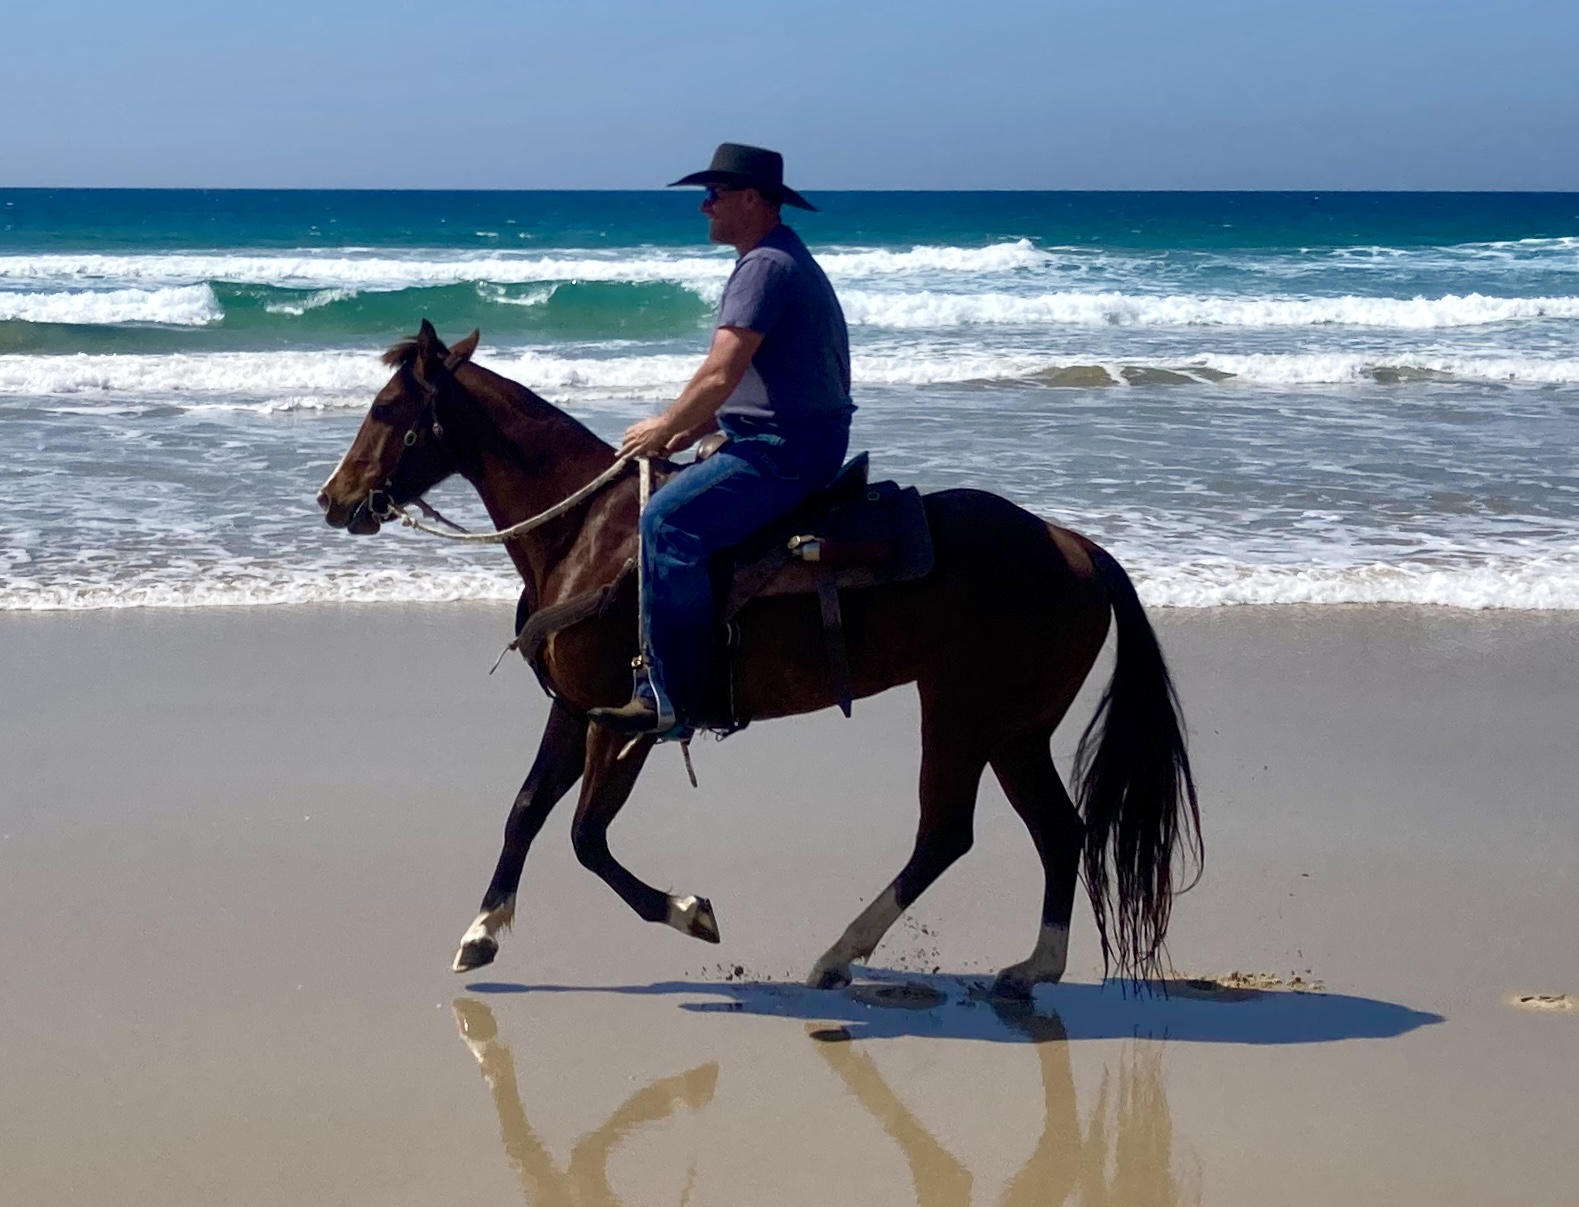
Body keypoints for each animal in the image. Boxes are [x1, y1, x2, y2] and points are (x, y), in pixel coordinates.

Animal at [316, 321, 1202, 996]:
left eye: (388, 407)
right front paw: (483, 929)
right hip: (1014, 726)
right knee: (1056, 829)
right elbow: (527, 810)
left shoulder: (629, 721)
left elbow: (585, 835)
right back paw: (1030, 966)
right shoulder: (575, 707)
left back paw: (841, 953)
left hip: (963, 712)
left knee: (947, 832)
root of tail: (1074, 544)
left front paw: (688, 910)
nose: (332, 498)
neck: (589, 535)